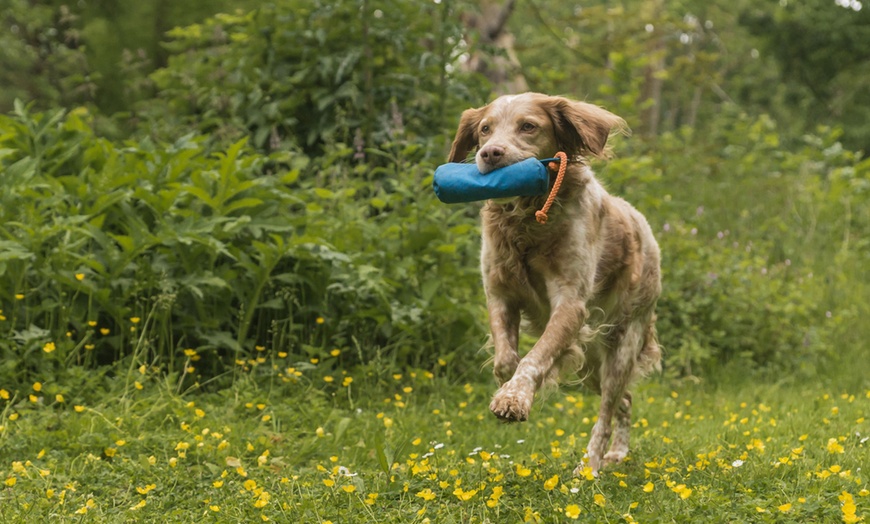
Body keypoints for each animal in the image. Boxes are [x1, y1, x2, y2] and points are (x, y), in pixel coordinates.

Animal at [450, 93, 660, 474]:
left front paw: (515, 398)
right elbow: (507, 360)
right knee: (624, 399)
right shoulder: (499, 294)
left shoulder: (570, 305)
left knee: (607, 411)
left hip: (622, 345)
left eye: (528, 126)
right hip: (591, 363)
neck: (527, 221)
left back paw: (590, 466)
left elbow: (533, 359)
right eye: (485, 129)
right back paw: (618, 453)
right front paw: (507, 388)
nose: (490, 153)